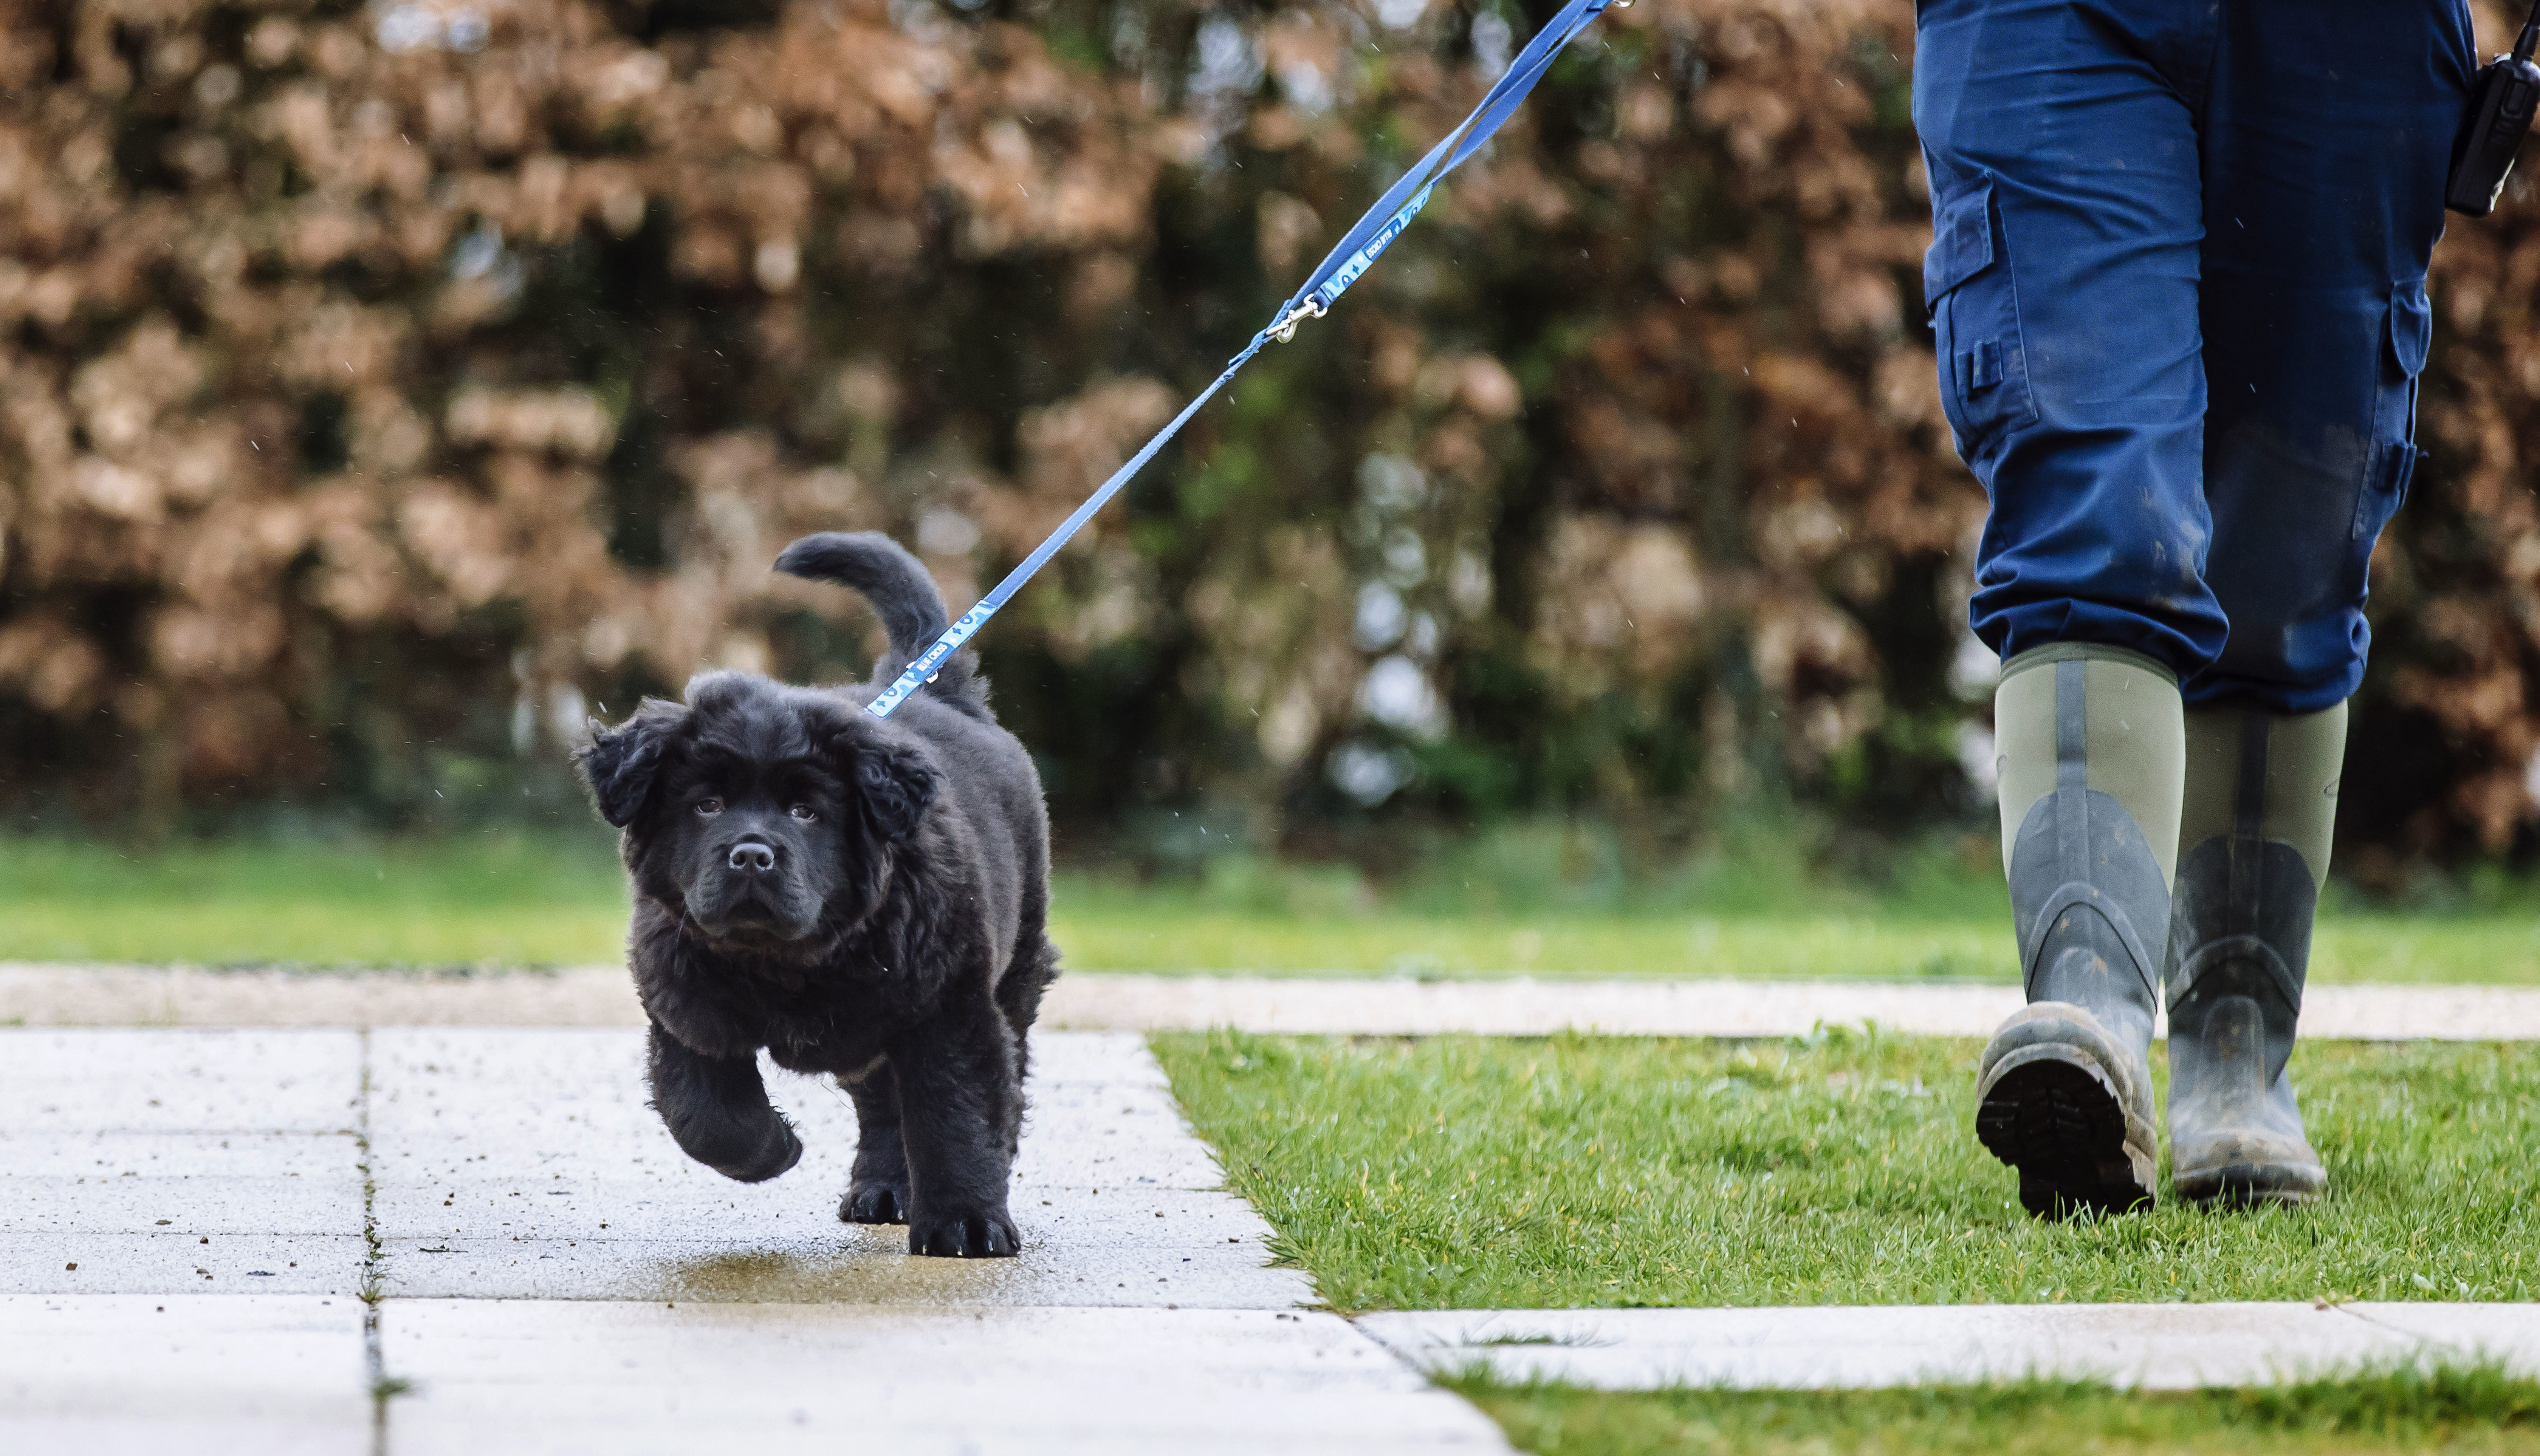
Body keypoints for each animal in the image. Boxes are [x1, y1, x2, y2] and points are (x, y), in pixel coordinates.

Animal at [576, 528, 1052, 1255]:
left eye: (806, 812)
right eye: (708, 804)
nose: (751, 854)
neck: (785, 962)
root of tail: (939, 691)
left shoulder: (950, 1007)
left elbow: (956, 1117)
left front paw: (966, 1224)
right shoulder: (683, 999)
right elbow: (707, 1113)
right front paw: (776, 1148)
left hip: (1015, 967)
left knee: (992, 1077)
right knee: (883, 1106)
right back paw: (883, 1190)